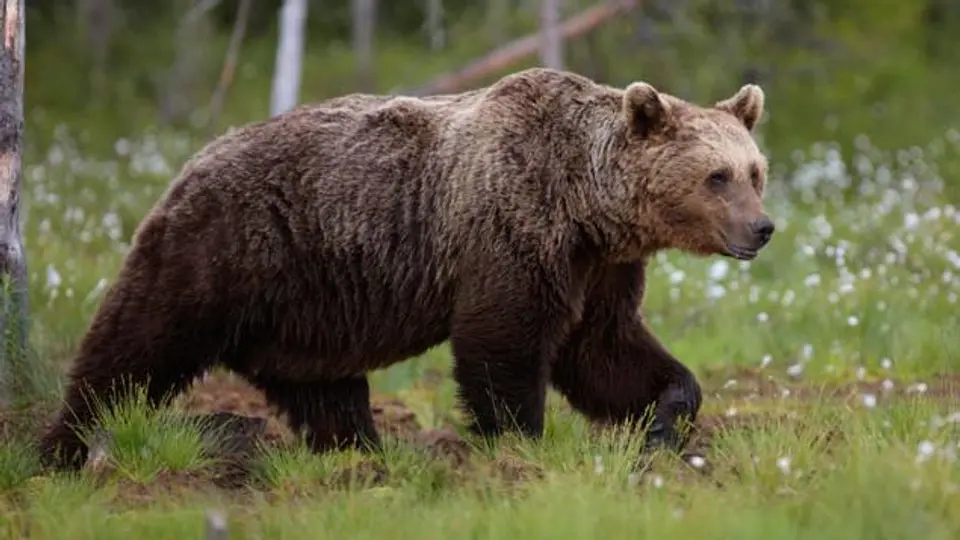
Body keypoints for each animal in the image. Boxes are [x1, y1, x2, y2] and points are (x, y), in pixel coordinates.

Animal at [38, 67, 775, 470]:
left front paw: (664, 424)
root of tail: (191, 159)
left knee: (326, 391)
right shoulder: (512, 230)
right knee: (137, 341)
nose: (763, 229)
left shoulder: (599, 268)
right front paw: (518, 443)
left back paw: (362, 455)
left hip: (307, 310)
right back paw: (61, 446)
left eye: (754, 171)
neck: (587, 206)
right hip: (221, 249)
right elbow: (503, 344)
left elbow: (606, 350)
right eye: (716, 177)